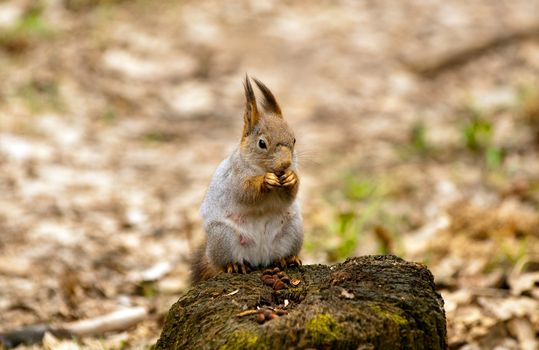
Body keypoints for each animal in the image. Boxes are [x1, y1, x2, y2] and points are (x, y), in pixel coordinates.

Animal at [192, 75, 304, 284]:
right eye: (262, 143)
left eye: (294, 140)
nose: (285, 163)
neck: (261, 169)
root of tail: (260, 258)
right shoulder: (234, 178)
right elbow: (246, 193)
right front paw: (265, 181)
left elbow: (289, 196)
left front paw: (292, 178)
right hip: (224, 237)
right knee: (225, 262)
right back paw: (235, 265)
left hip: (293, 230)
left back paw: (288, 258)